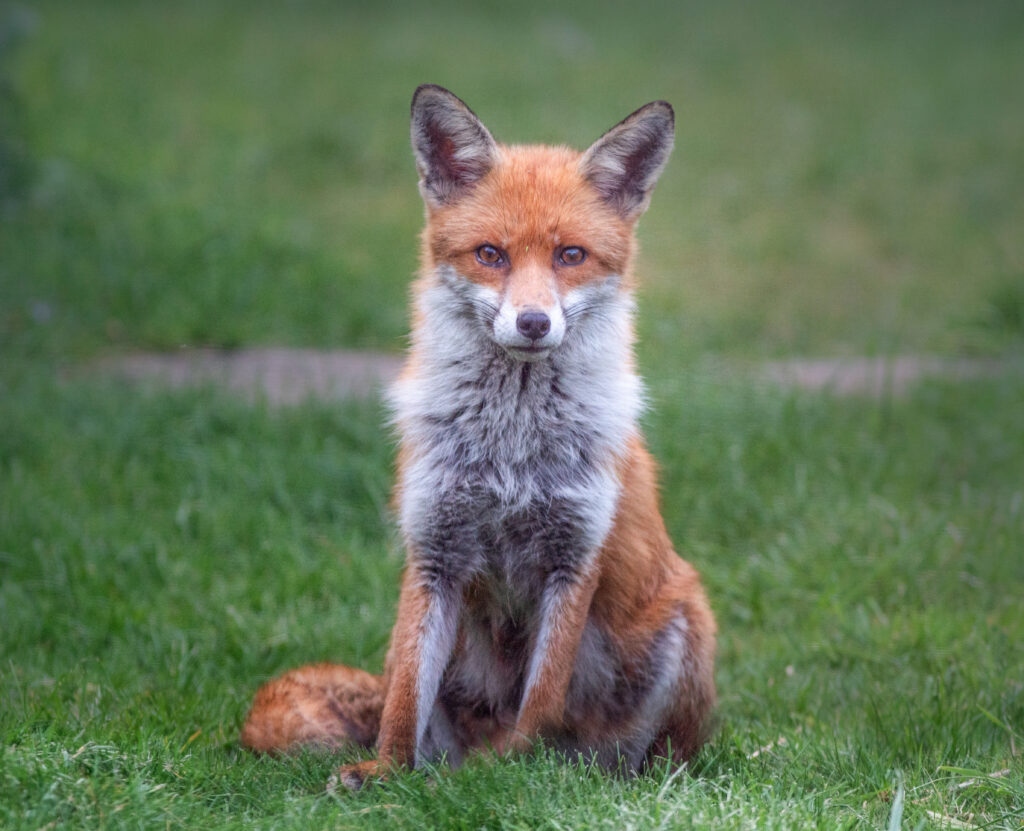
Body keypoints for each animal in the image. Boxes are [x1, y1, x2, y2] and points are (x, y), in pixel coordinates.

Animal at [240, 84, 717, 789]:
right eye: (491, 254)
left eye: (570, 256)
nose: (533, 322)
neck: (511, 451)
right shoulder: (434, 551)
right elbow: (405, 698)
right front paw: (385, 773)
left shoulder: (574, 558)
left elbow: (541, 697)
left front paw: (517, 776)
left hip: (685, 619)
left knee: (645, 755)